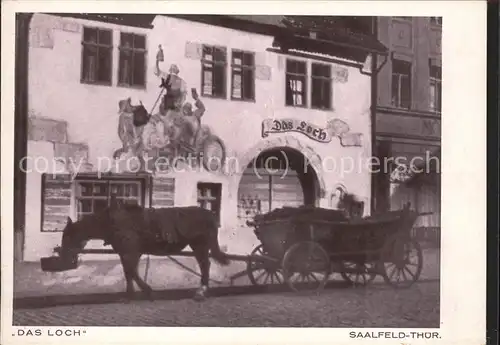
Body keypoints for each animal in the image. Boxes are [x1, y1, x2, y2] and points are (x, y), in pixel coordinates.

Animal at [58, 204, 229, 300]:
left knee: (205, 265)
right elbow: (128, 272)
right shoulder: (124, 253)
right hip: (198, 245)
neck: (112, 223)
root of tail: (210, 214)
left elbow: (132, 271)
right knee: (204, 264)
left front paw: (147, 291)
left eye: (67, 235)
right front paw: (129, 294)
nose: (62, 254)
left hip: (200, 244)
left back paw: (201, 292)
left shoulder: (131, 252)